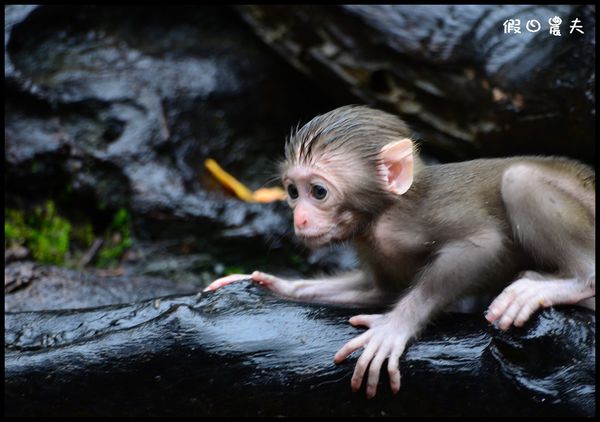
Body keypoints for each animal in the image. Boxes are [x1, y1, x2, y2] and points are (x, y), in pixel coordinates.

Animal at [205, 105, 596, 398]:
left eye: (318, 192)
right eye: (292, 191)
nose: (299, 219)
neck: (382, 212)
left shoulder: (410, 223)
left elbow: (482, 242)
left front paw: (393, 327)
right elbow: (381, 291)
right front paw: (274, 283)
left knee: (519, 180)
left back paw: (572, 283)